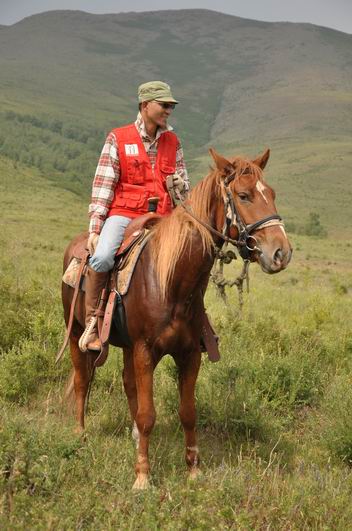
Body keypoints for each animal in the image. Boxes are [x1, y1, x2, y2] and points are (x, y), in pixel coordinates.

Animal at [61, 148, 292, 488]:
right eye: (244, 195)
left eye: (272, 194)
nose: (281, 253)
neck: (172, 281)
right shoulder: (145, 350)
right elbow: (148, 414)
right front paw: (142, 476)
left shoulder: (189, 354)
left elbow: (187, 412)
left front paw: (193, 469)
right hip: (77, 331)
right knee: (81, 379)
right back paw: (79, 432)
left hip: (127, 346)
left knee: (127, 383)